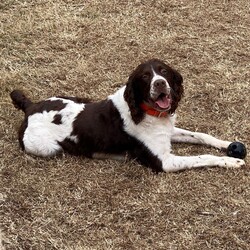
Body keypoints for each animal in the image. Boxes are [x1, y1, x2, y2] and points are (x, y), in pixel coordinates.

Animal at [10, 59, 245, 172]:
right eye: (145, 77)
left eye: (164, 71)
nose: (160, 83)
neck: (148, 113)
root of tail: (30, 107)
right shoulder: (165, 162)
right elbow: (203, 157)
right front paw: (231, 161)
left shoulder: (168, 132)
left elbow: (202, 136)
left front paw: (227, 145)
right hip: (46, 149)